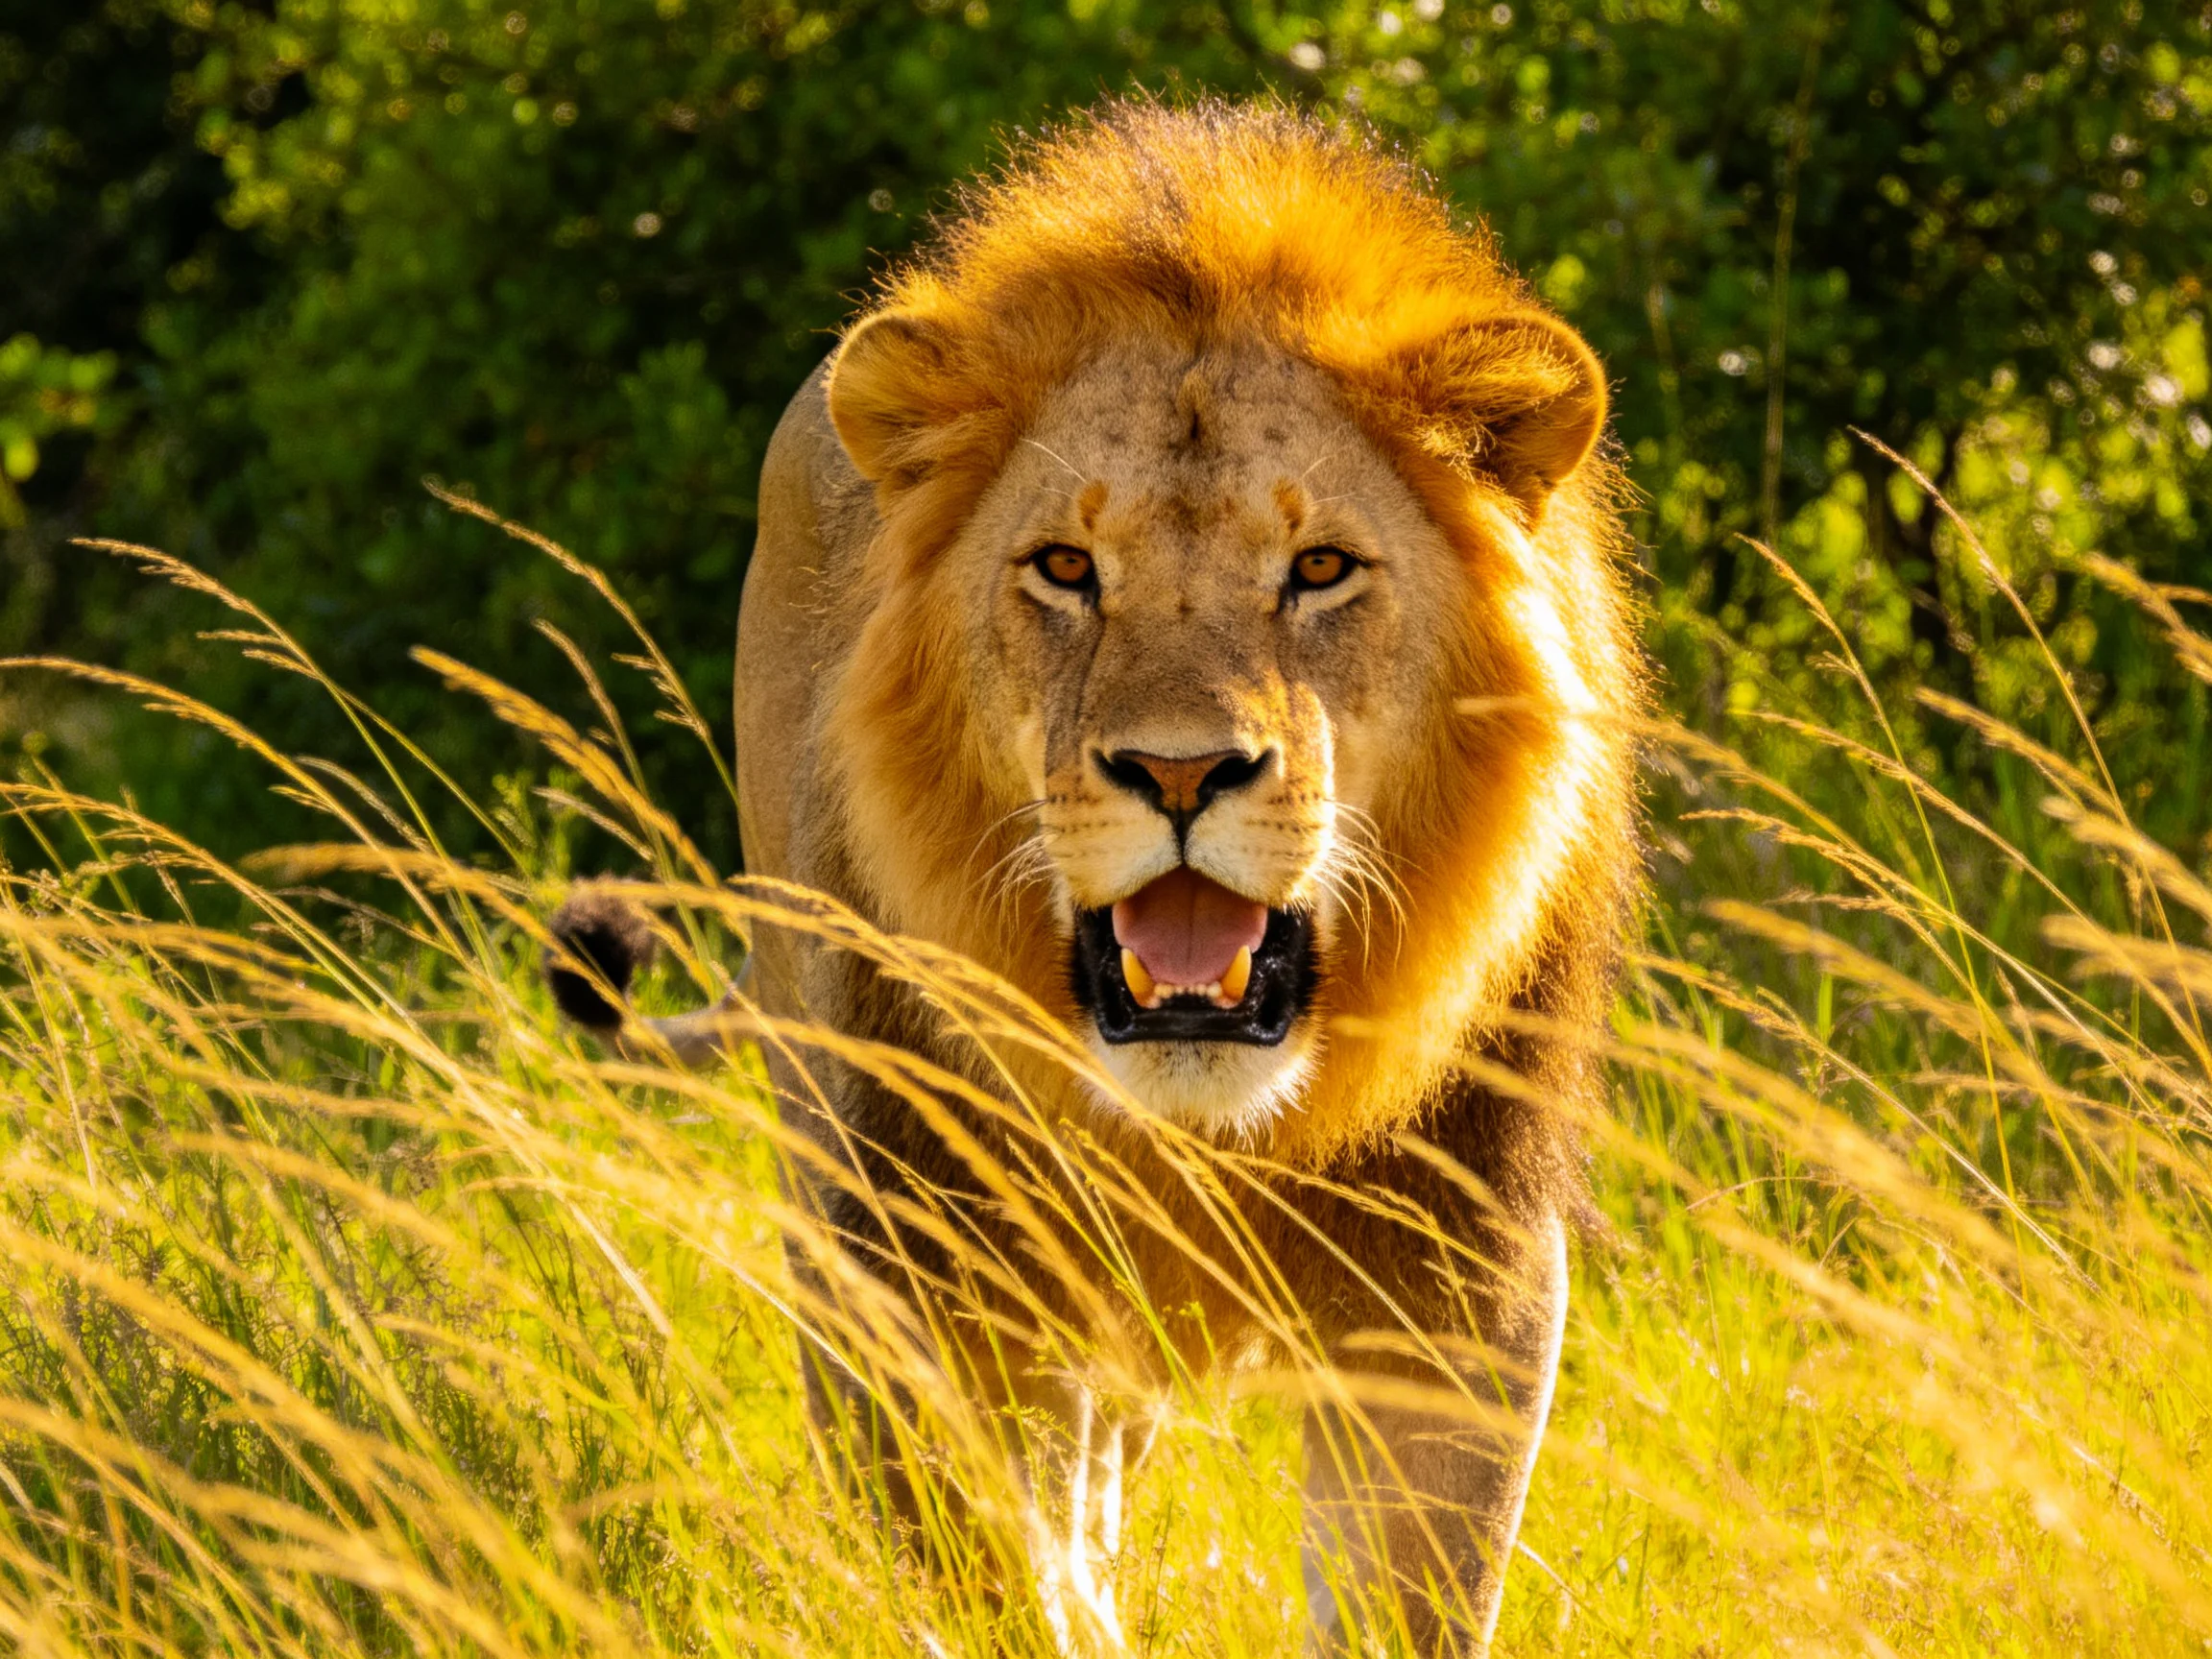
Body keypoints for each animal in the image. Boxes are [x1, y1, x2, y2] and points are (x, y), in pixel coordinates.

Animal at [548, 100, 1641, 1654]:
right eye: (1065, 567)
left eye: (1320, 568)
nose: (1180, 774)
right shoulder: (913, 1258)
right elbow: (994, 1577)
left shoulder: (1458, 1263)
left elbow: (1407, 1593)